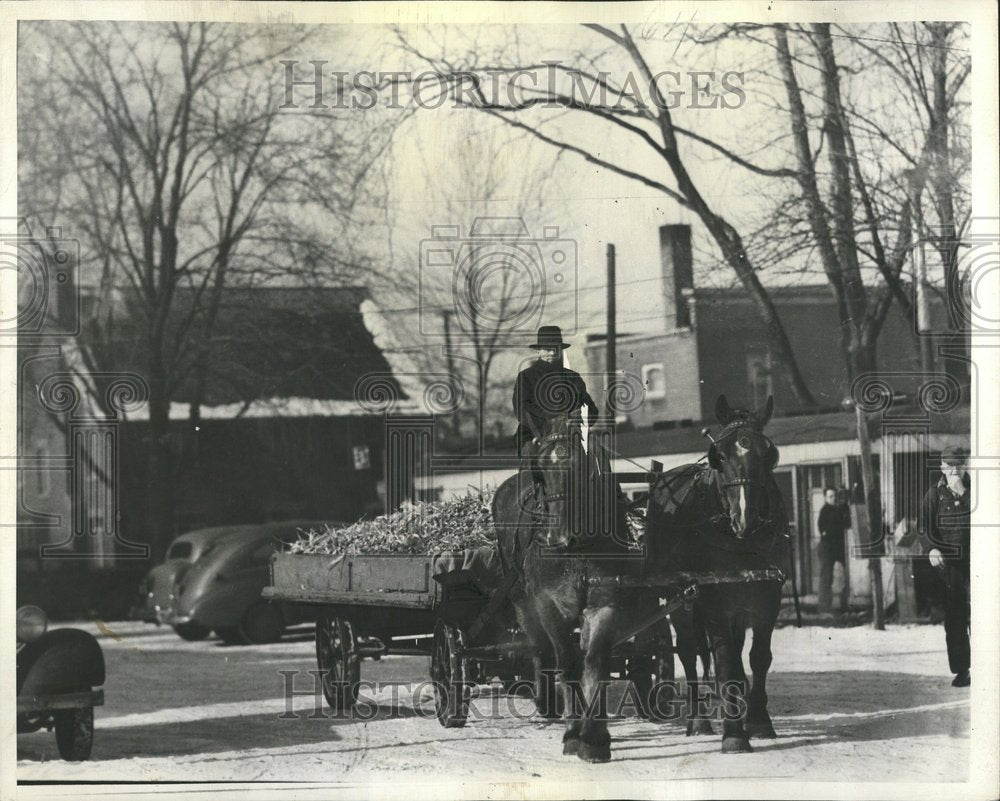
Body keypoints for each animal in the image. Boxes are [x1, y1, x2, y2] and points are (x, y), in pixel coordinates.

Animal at [490, 412, 644, 764]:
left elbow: (595, 660)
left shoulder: (604, 603)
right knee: (540, 648)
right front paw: (574, 734)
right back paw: (548, 702)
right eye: (541, 469)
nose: (560, 538)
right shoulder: (548, 605)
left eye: (583, 466)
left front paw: (595, 738)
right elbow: (568, 661)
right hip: (524, 603)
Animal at [644, 392, 792, 752]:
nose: (745, 519)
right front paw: (734, 734)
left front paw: (758, 720)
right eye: (719, 457)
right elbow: (726, 663)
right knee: (688, 651)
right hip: (680, 599)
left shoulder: (768, 596)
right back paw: (698, 720)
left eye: (768, 455)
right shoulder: (714, 603)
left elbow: (758, 657)